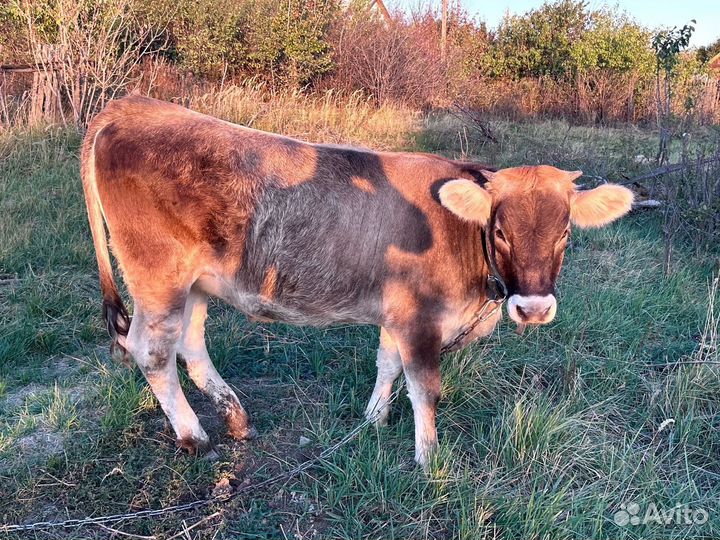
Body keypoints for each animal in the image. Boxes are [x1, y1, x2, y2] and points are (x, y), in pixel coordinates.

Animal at [81, 96, 633, 468]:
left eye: (565, 233)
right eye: (500, 231)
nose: (534, 309)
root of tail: (132, 106)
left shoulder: (396, 311)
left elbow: (387, 363)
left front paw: (373, 419)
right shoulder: (420, 319)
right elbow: (424, 387)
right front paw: (428, 458)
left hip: (196, 283)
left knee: (190, 346)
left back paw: (235, 419)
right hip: (159, 277)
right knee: (151, 352)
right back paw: (194, 436)